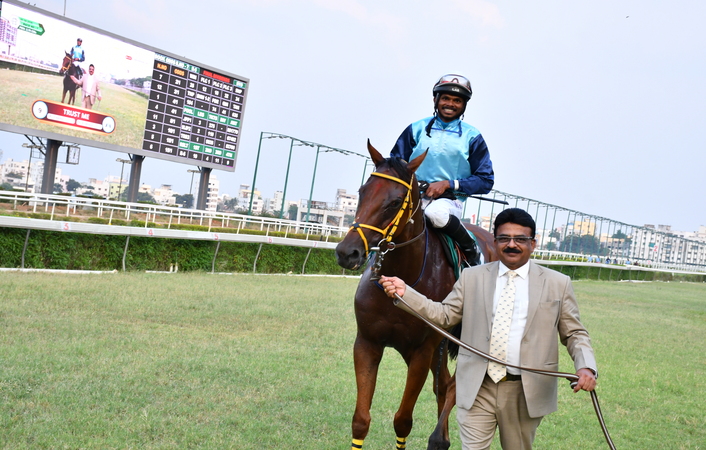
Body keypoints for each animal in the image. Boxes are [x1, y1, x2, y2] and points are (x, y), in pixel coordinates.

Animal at [335, 141, 497, 450]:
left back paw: (440, 437)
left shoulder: (422, 351)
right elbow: (360, 420)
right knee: (444, 385)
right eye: (362, 192)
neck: (403, 279)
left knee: (454, 387)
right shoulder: (367, 343)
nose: (347, 252)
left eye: (395, 201)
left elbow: (403, 420)